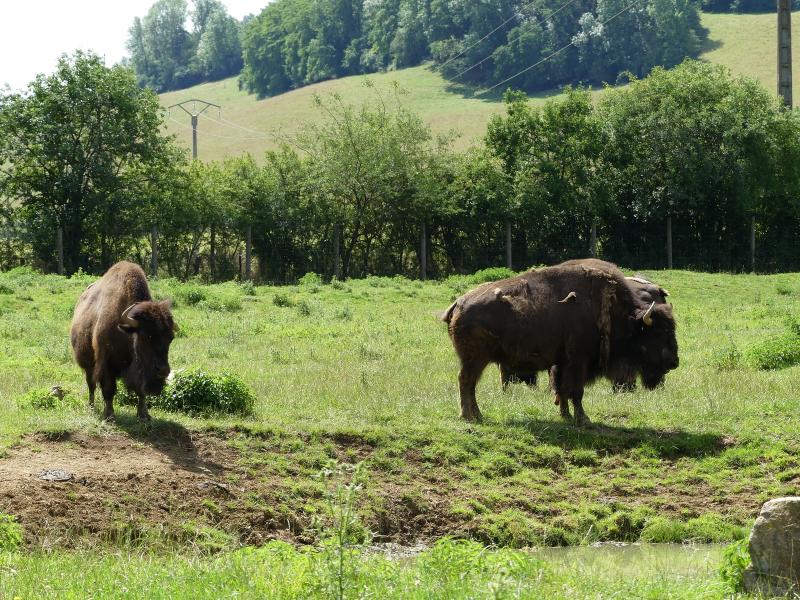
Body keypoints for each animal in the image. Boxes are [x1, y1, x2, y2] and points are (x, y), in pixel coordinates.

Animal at [71, 261, 177, 421]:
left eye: (170, 338)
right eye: (146, 336)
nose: (163, 370)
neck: (127, 332)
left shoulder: (139, 370)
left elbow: (141, 390)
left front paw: (144, 415)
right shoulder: (107, 363)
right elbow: (109, 389)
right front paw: (109, 415)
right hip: (88, 365)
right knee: (91, 384)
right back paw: (91, 407)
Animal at [443, 263, 678, 425]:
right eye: (659, 333)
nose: (674, 362)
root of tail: (459, 303)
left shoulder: (563, 362)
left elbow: (563, 389)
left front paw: (565, 416)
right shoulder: (579, 361)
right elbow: (576, 390)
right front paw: (583, 419)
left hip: (477, 361)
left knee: (470, 384)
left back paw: (477, 415)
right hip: (475, 360)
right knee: (466, 381)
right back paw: (468, 416)